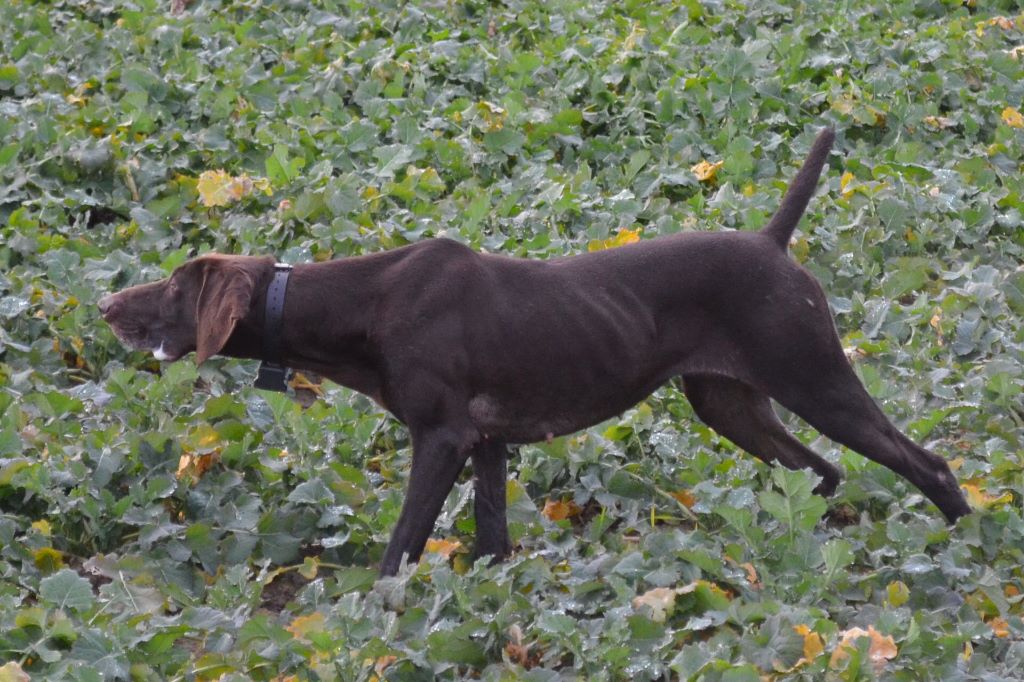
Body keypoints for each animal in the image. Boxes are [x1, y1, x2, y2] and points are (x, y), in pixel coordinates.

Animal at [99, 129, 970, 573]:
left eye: (173, 287)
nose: (107, 305)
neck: (363, 305)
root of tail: (771, 242)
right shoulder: (487, 444)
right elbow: (492, 544)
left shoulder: (443, 438)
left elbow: (398, 551)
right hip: (730, 404)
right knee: (819, 473)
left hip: (814, 378)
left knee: (925, 462)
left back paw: (964, 547)